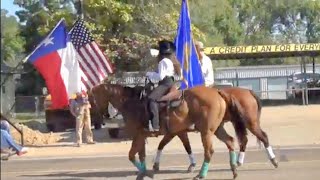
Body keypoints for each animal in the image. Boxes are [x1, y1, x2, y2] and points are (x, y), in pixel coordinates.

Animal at [90, 83, 248, 179]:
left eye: (93, 98)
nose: (99, 118)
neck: (132, 103)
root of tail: (218, 92)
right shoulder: (164, 133)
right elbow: (143, 154)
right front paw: (145, 171)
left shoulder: (138, 134)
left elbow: (132, 155)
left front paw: (147, 172)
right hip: (216, 129)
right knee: (230, 141)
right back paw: (234, 170)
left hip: (206, 131)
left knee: (209, 151)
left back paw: (202, 174)